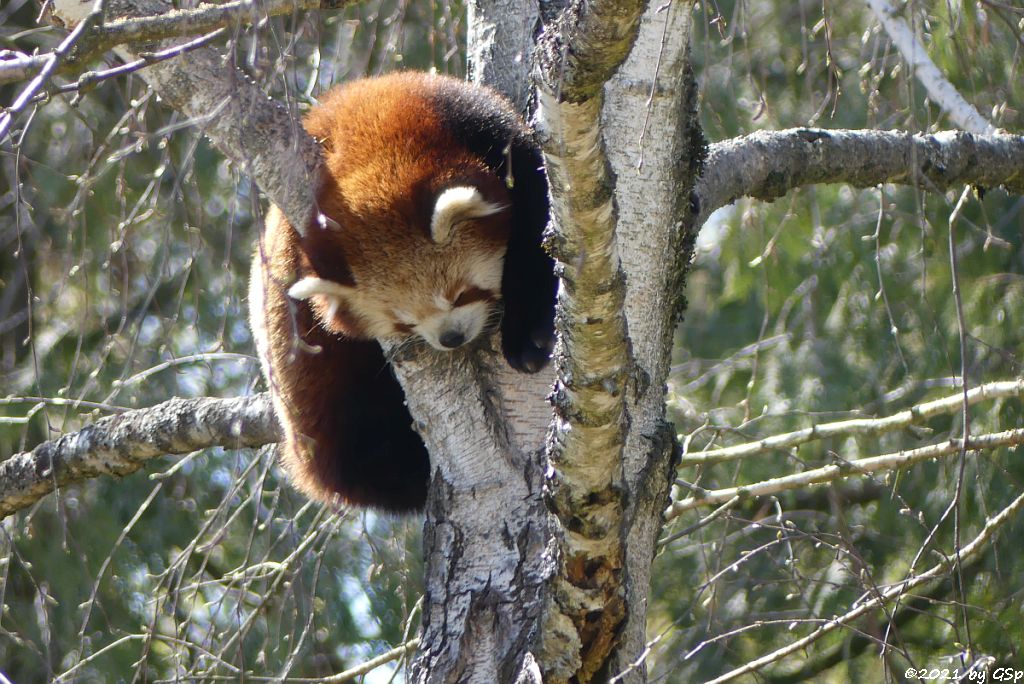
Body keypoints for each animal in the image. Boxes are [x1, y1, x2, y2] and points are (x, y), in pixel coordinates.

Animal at [248, 73, 557, 511]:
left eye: (460, 294)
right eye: (404, 322)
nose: (450, 338)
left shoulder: (480, 123)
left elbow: (538, 228)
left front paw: (528, 334)